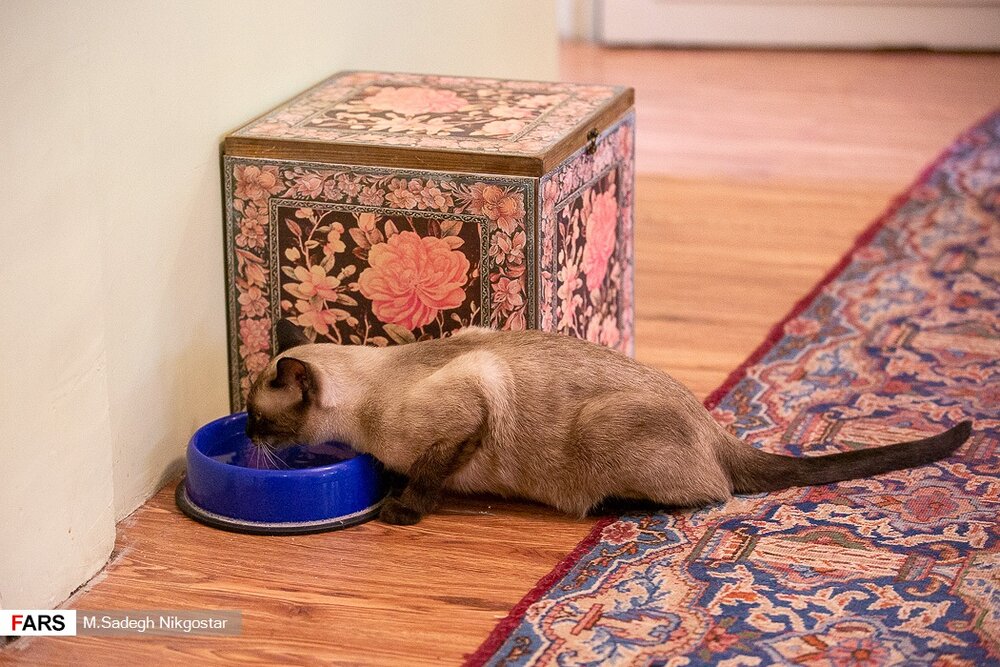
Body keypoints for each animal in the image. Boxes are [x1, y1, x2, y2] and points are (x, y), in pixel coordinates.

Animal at [245, 320, 972, 525]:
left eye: (255, 415)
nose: (247, 436)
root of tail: (712, 425)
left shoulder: (472, 400)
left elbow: (428, 474)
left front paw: (401, 508)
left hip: (601, 426)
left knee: (712, 494)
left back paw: (606, 506)